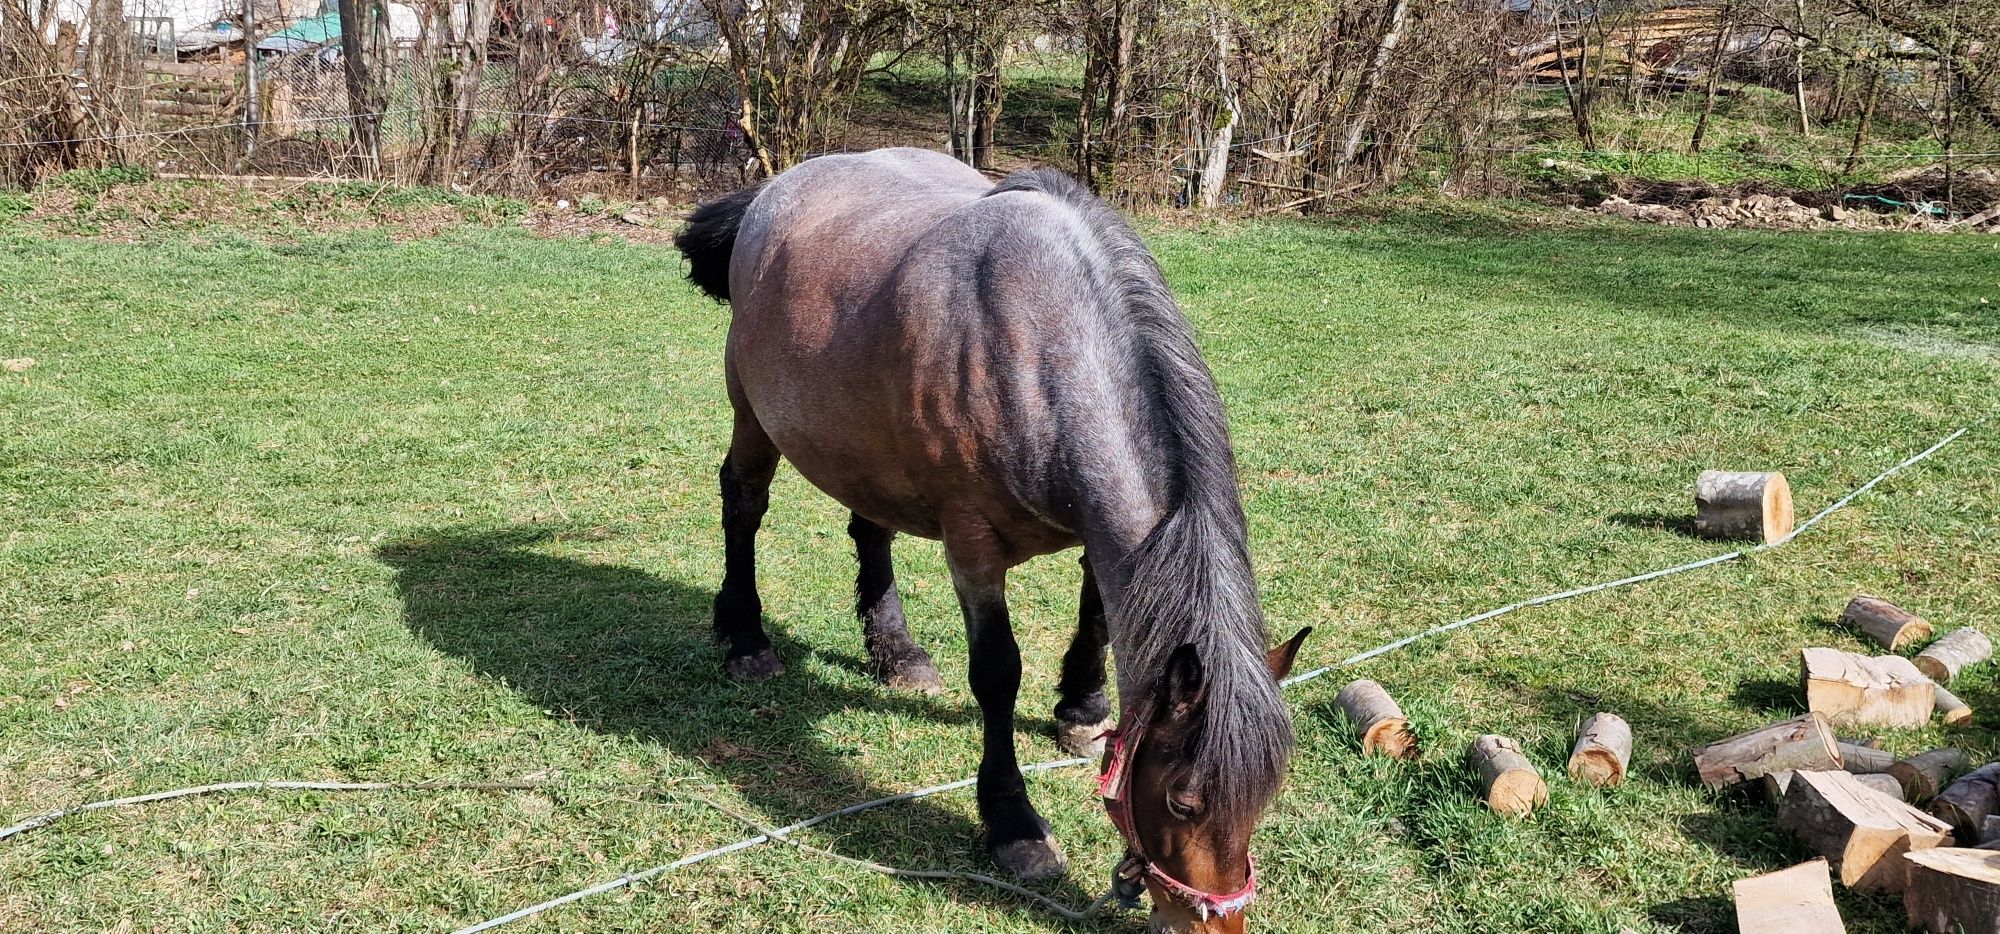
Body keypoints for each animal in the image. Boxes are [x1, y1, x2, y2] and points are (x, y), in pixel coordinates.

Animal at [676, 148, 1312, 934]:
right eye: (1183, 801)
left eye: (1264, 796)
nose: (1211, 924)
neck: (1042, 348)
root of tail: (777, 186)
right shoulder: (973, 546)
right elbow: (998, 672)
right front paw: (1013, 823)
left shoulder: (1096, 536)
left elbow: (1098, 621)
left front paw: (1082, 712)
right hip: (753, 414)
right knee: (744, 503)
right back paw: (746, 637)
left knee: (869, 527)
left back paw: (898, 653)